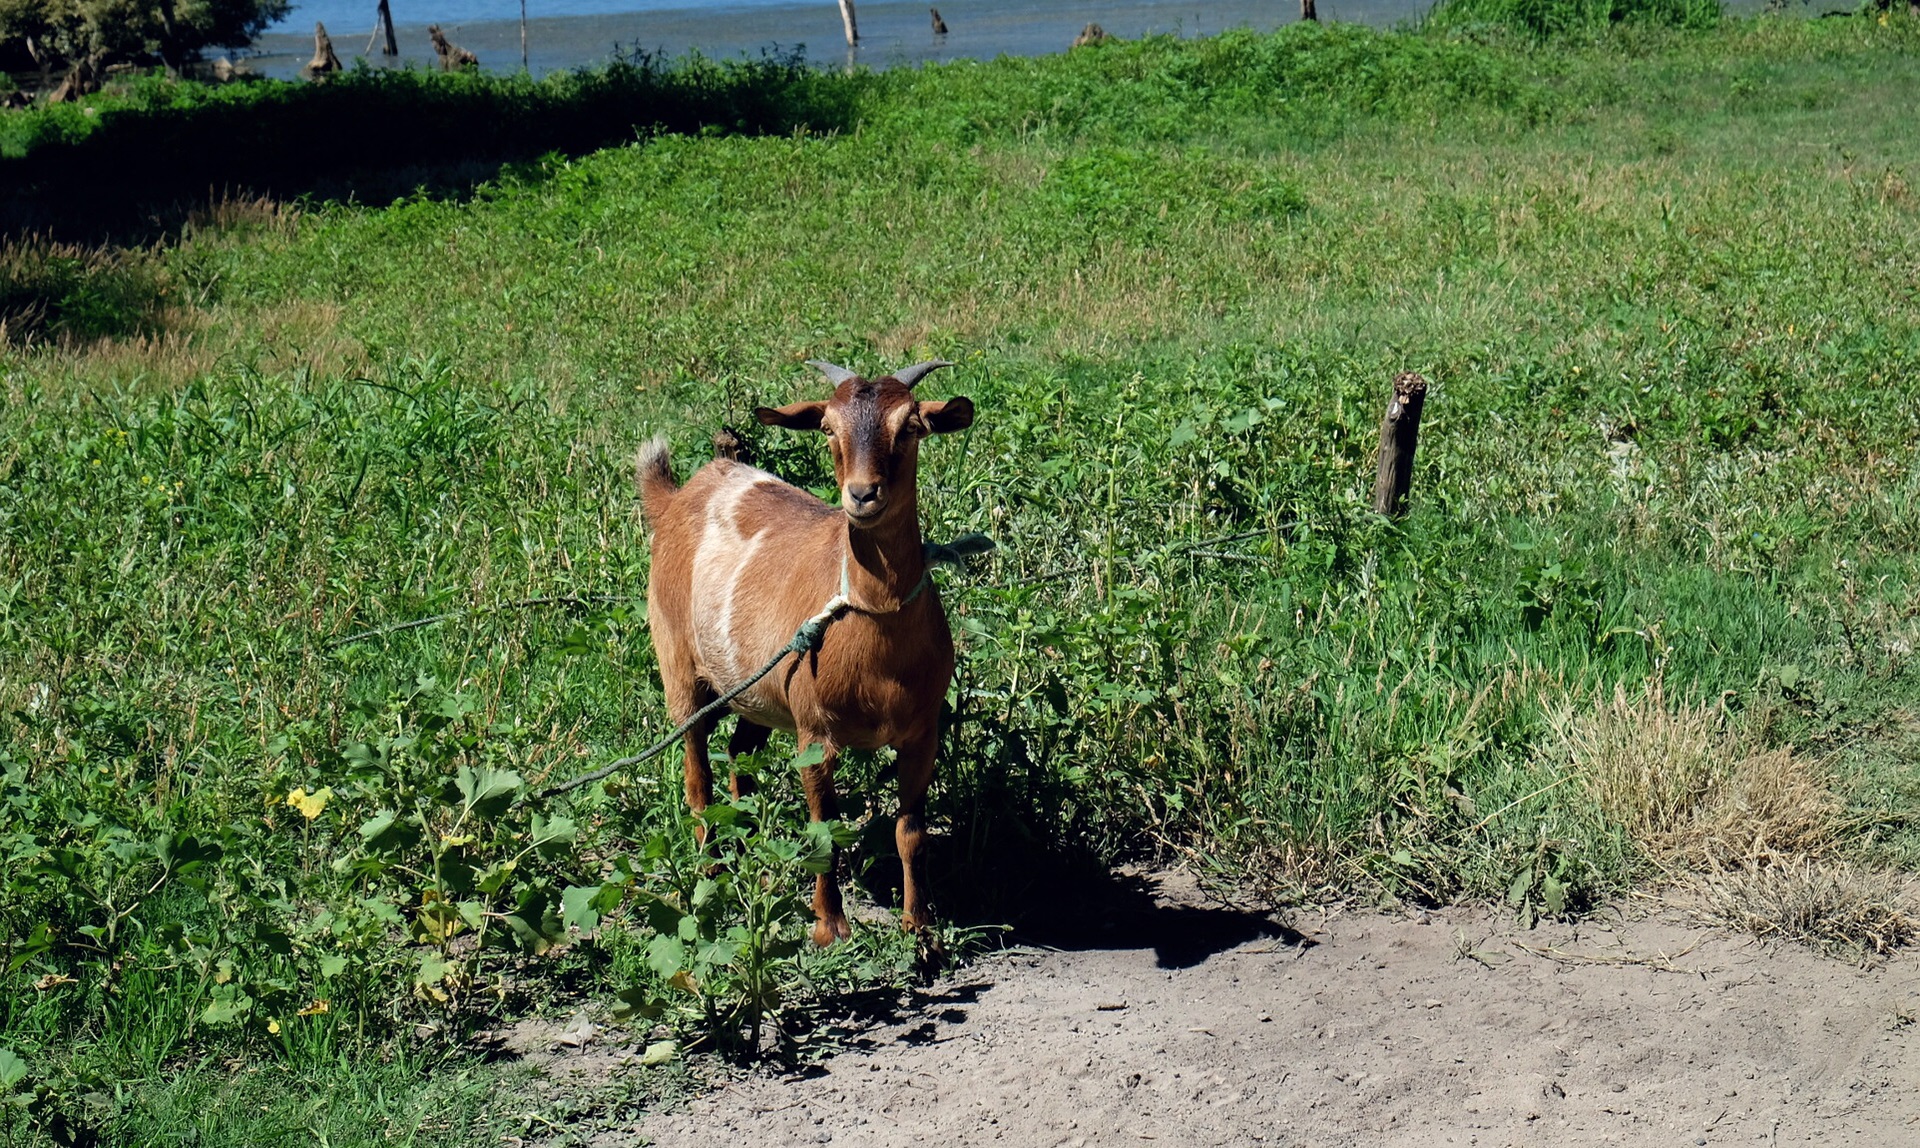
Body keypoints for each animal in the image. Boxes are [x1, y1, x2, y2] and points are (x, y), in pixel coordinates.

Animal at [641, 360, 975, 944]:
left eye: (910, 427)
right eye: (827, 428)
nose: (863, 496)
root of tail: (681, 495)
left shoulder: (922, 733)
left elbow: (911, 832)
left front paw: (921, 928)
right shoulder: (816, 733)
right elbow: (824, 831)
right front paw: (829, 926)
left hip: (758, 690)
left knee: (740, 756)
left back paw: (749, 853)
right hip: (679, 669)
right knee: (696, 775)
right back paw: (711, 873)